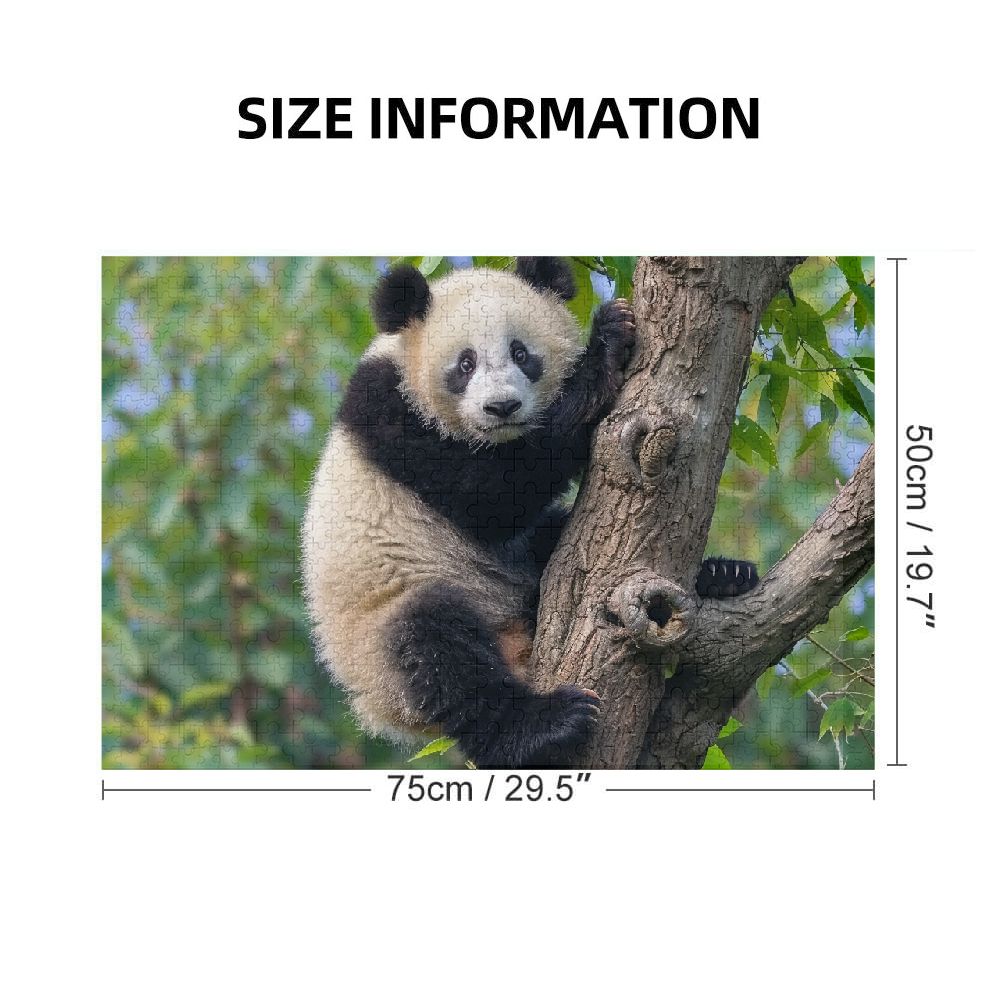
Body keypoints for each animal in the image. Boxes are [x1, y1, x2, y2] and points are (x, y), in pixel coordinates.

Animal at [302, 257, 758, 769]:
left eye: (521, 353)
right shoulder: (392, 418)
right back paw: (545, 726)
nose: (502, 406)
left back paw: (722, 576)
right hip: (387, 622)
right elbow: (494, 496)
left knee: (544, 540)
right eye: (465, 364)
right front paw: (604, 348)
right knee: (439, 653)